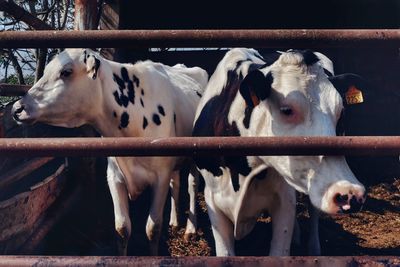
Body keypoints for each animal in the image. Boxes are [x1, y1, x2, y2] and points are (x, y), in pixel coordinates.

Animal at [10, 49, 208, 256]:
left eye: (66, 72)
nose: (16, 108)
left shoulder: (160, 176)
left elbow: (152, 229)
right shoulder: (114, 176)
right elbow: (122, 228)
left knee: (192, 184)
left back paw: (190, 229)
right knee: (176, 182)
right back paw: (174, 221)